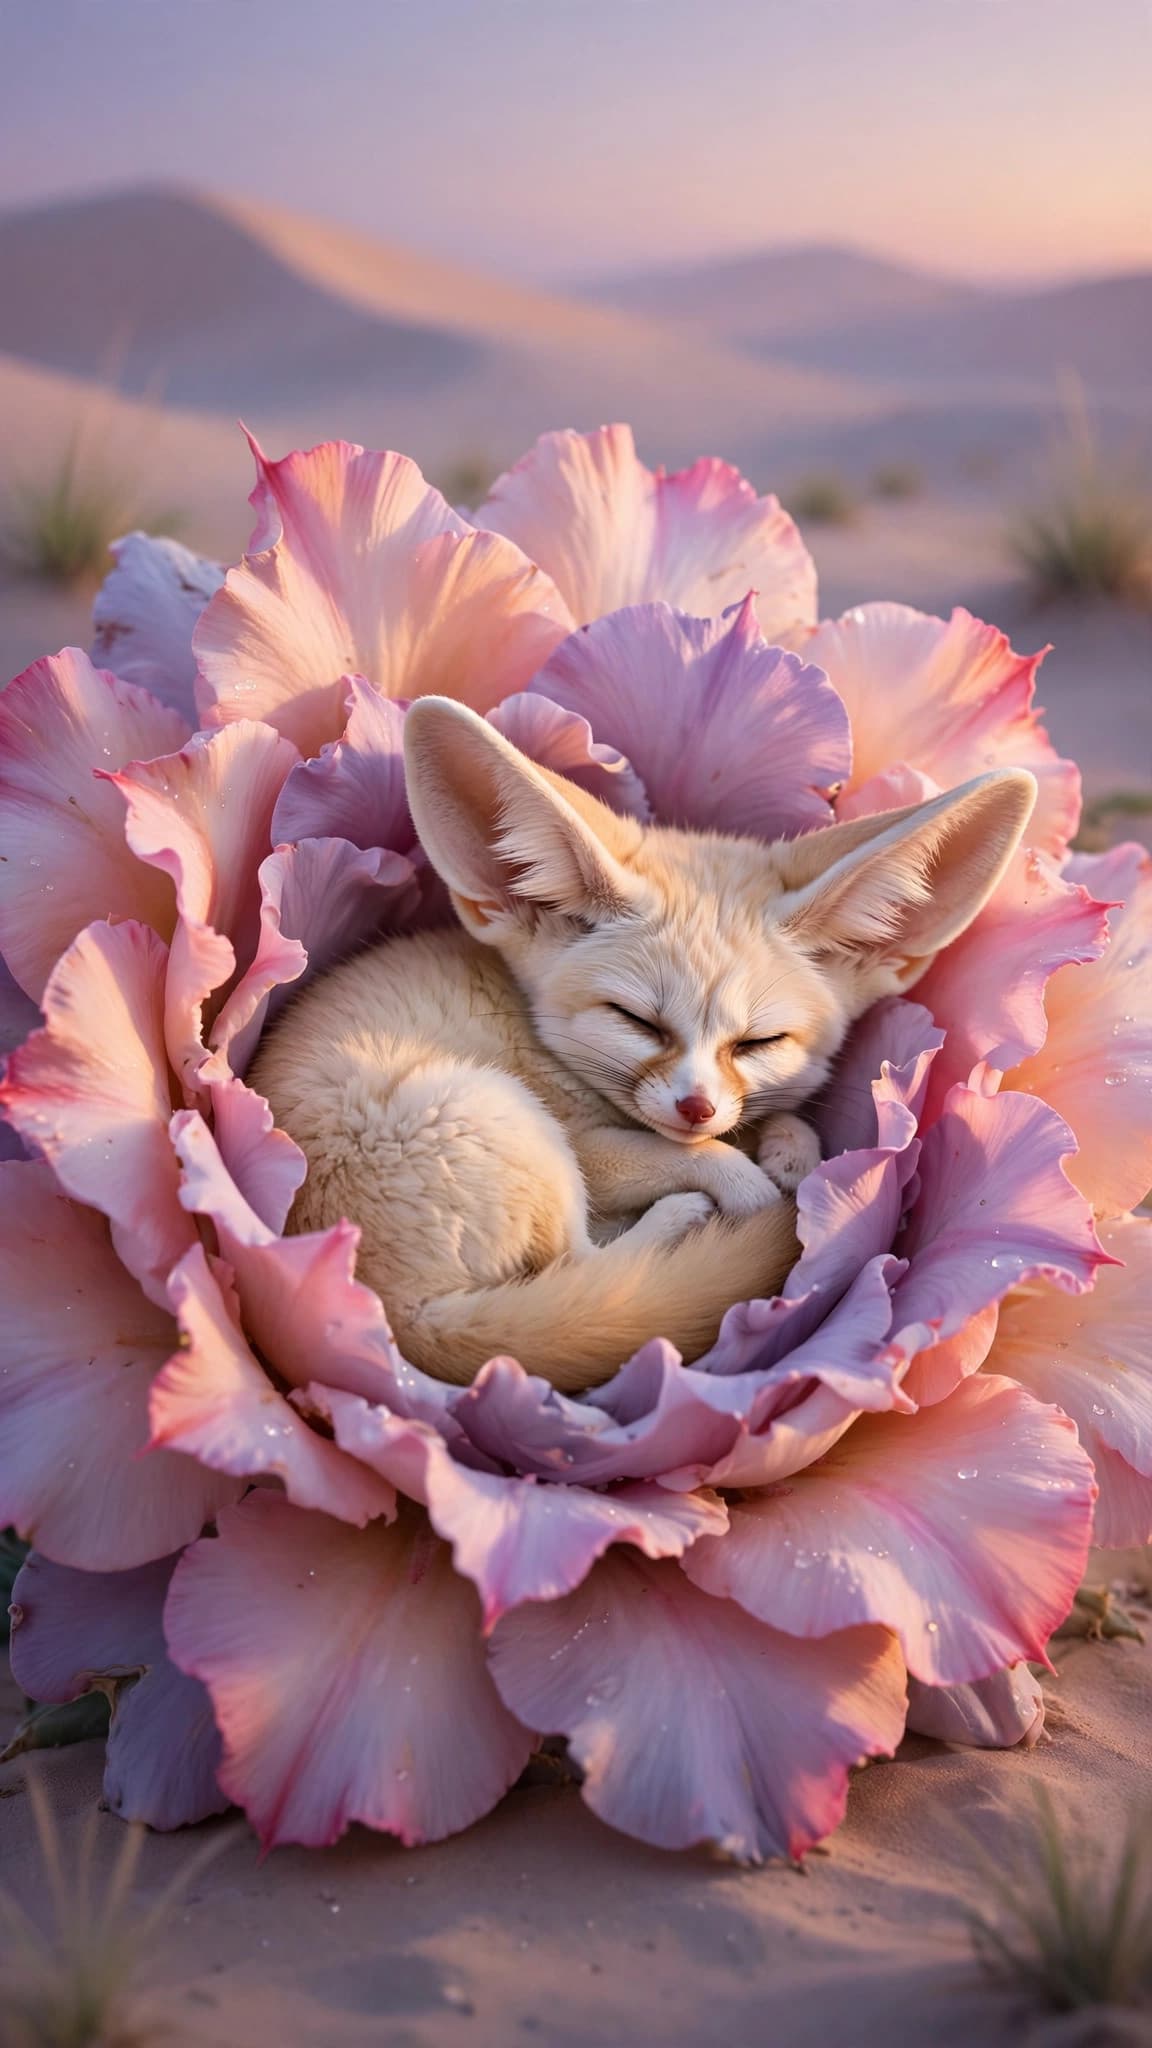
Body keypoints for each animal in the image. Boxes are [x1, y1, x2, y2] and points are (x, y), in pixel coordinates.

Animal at [249, 697, 1036, 1394]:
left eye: (760, 1041)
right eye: (637, 1022)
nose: (696, 1108)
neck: (537, 1033)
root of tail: (377, 1313)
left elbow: (777, 1123)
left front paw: (790, 1148)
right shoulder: (591, 1142)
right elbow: (693, 1159)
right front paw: (751, 1184)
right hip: (506, 1122)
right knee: (583, 1265)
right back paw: (675, 1221)